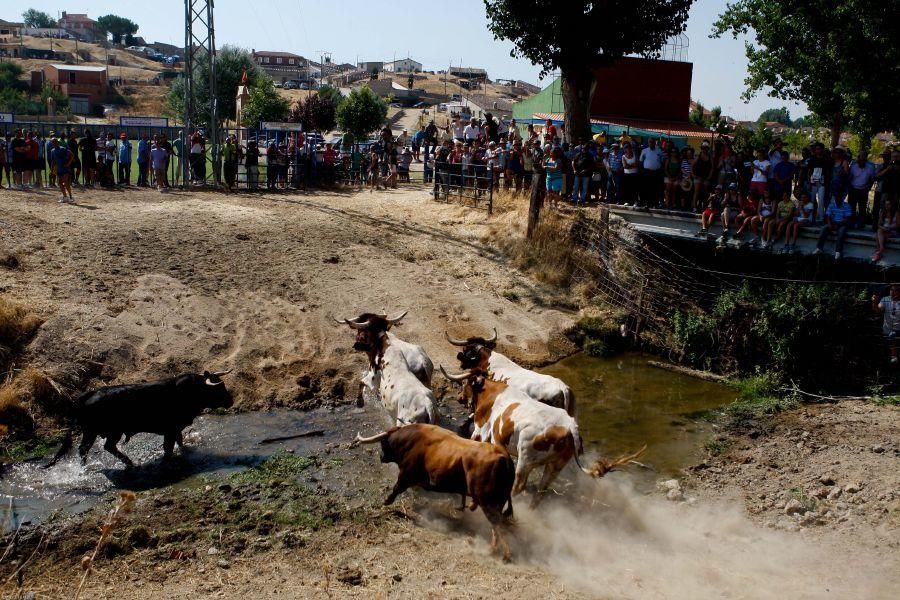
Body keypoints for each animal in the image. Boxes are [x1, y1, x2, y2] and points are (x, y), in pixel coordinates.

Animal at [45, 370, 232, 468]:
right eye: (219, 388)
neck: (191, 391)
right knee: (88, 448)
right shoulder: (170, 429)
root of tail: (87, 395)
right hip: (99, 431)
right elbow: (168, 448)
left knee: (98, 448)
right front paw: (166, 461)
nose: (230, 400)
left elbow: (179, 442)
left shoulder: (176, 429)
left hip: (99, 433)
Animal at [356, 424, 516, 560]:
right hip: (498, 501)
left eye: (383, 444)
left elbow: (397, 488)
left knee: (496, 524)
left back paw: (498, 552)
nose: (381, 457)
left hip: (488, 502)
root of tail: (503, 456)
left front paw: (387, 501)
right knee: (496, 524)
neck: (411, 440)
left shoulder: (406, 475)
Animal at [442, 368, 640, 504]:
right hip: (555, 466)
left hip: (525, 459)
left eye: (465, 383)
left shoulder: (482, 430)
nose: (459, 397)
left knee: (519, 486)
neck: (492, 393)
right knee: (541, 491)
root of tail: (570, 427)